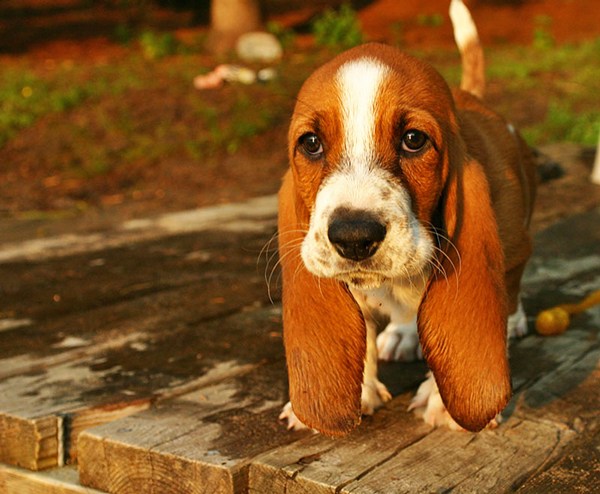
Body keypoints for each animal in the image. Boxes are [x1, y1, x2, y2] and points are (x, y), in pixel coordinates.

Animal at [276, 0, 536, 436]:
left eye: (414, 140)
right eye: (310, 143)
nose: (353, 237)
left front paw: (444, 404)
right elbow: (362, 338)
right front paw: (357, 394)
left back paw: (513, 319)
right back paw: (401, 334)